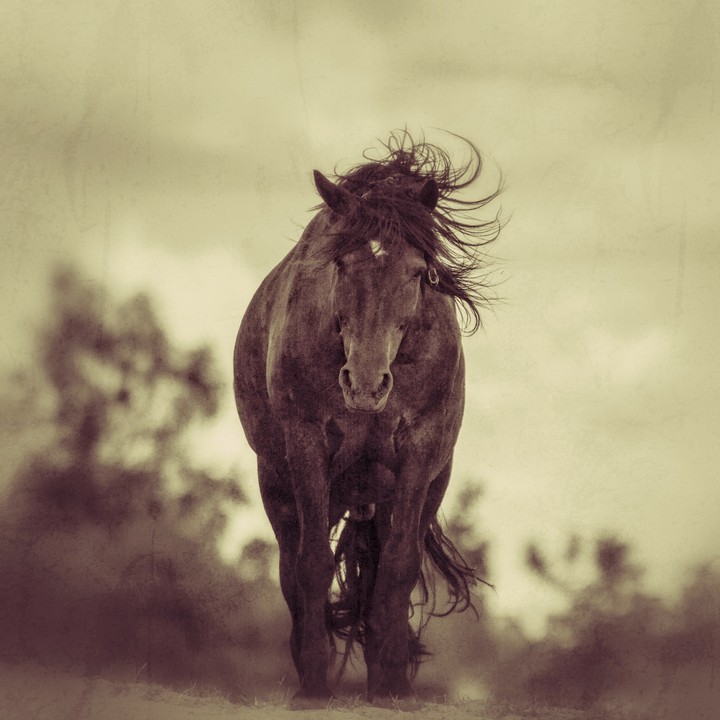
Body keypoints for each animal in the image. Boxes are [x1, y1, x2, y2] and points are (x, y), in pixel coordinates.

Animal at [233, 131, 501, 708]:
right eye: (342, 265)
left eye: (418, 273)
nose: (365, 384)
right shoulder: (306, 445)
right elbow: (312, 564)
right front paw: (314, 682)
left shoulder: (421, 454)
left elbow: (397, 569)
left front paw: (394, 682)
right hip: (279, 485)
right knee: (291, 568)